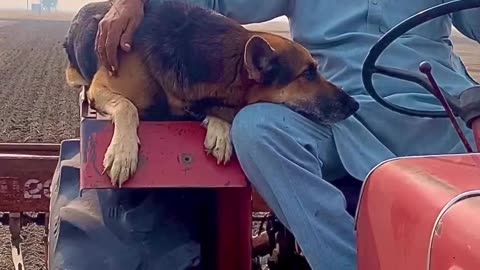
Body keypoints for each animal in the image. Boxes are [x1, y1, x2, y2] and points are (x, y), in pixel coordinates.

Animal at [62, 0, 358, 188]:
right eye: (308, 74)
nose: (354, 104)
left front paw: (220, 131)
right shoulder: (102, 87)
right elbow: (127, 107)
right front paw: (123, 153)